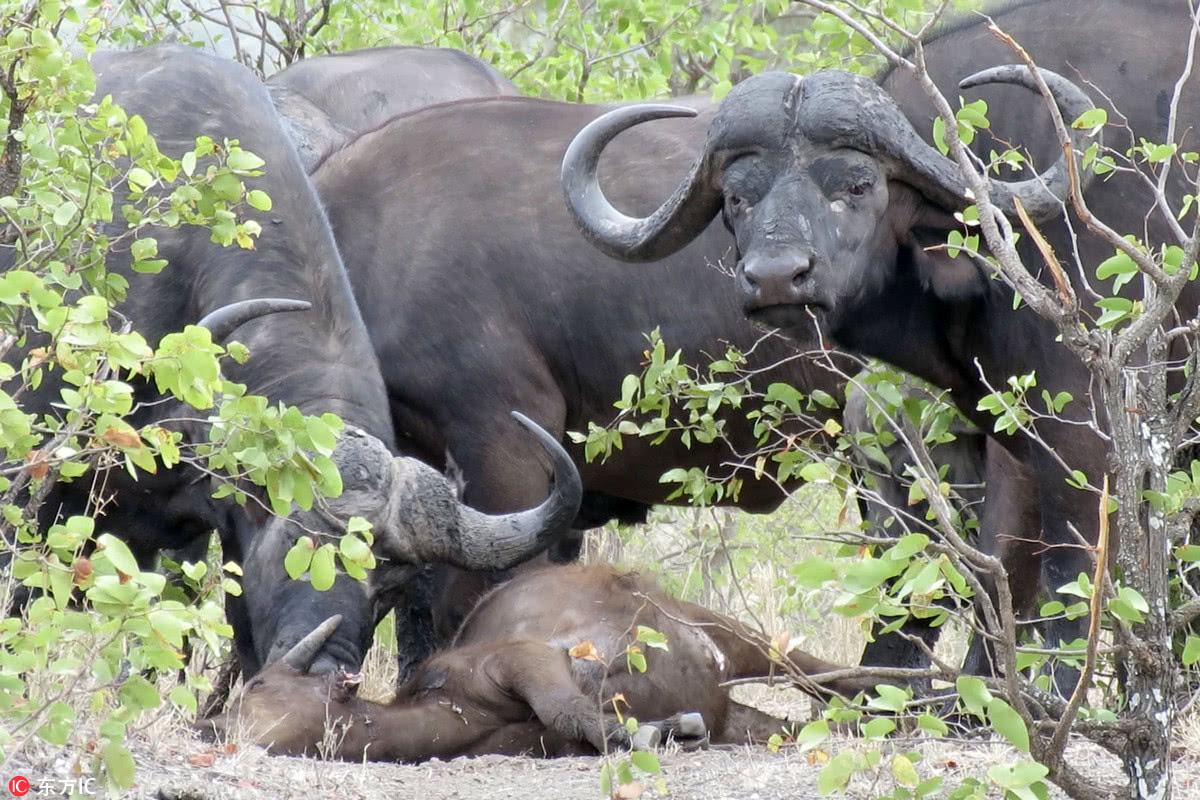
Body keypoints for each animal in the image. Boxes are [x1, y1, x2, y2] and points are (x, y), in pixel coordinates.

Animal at [206, 561, 883, 762]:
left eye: (258, 682)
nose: (214, 726)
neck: (453, 706)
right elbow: (584, 725)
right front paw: (663, 729)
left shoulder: (518, 660)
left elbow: (565, 704)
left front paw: (653, 730)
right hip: (740, 713)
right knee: (797, 722)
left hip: (729, 631)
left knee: (821, 672)